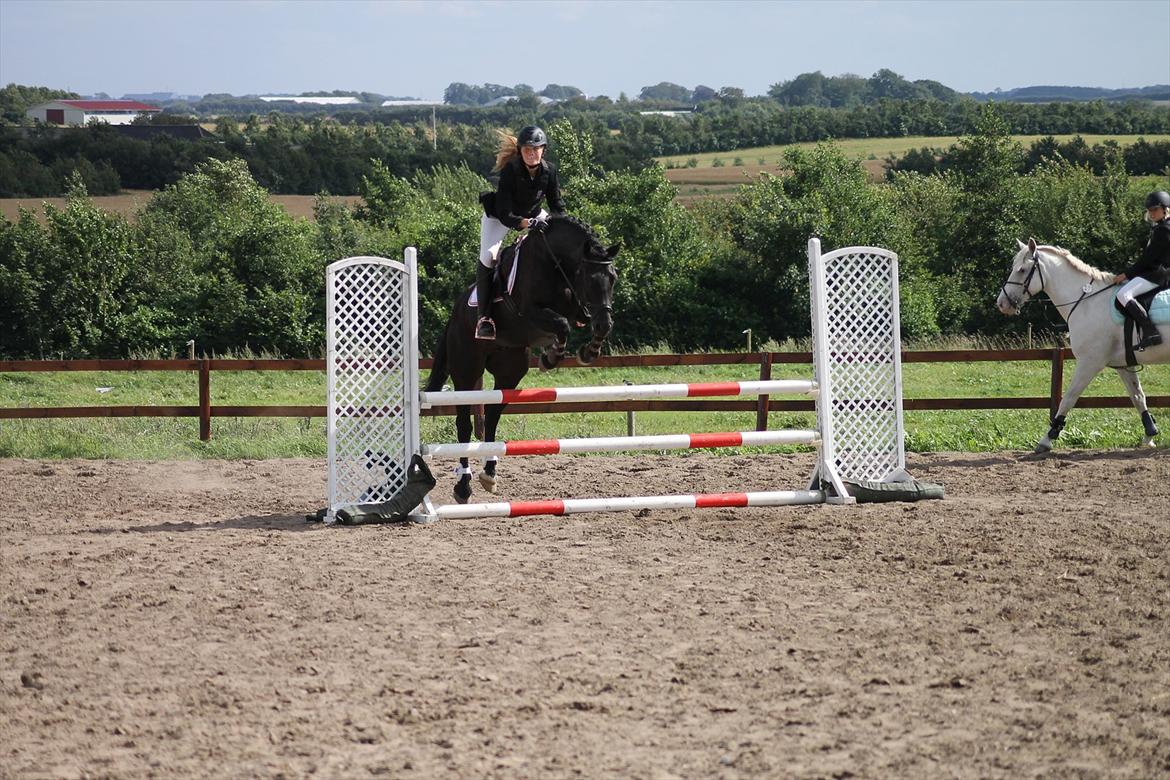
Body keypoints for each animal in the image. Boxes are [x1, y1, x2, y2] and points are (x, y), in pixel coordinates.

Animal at [423, 216, 622, 502]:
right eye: (588, 277)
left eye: (613, 278)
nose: (604, 320)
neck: (554, 262)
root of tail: (455, 313)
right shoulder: (531, 311)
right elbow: (562, 325)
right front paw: (551, 357)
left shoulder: (577, 311)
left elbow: (578, 324)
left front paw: (588, 351)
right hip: (466, 369)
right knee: (463, 424)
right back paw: (463, 486)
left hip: (510, 371)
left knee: (492, 416)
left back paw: (489, 473)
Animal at [996, 238, 1170, 451]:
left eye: (1021, 270)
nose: (1002, 304)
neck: (1087, 302)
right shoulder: (1124, 365)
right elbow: (1138, 397)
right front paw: (1150, 435)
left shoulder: (1089, 363)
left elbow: (1068, 398)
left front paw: (1047, 438)